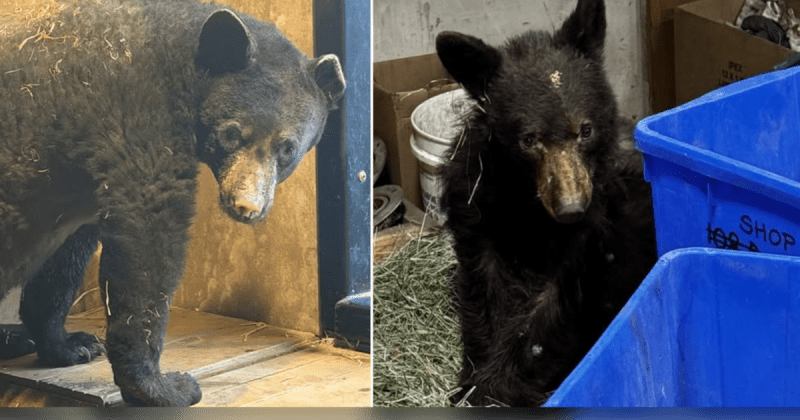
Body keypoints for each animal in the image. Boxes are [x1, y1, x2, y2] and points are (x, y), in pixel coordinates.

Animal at [0, 0, 345, 407]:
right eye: (231, 133)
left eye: (287, 148)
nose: (246, 206)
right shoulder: (139, 122)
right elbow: (147, 240)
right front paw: (162, 386)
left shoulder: (77, 180)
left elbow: (65, 258)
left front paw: (70, 344)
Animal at [435, 0, 657, 407]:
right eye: (528, 140)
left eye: (585, 130)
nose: (571, 209)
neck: (529, 205)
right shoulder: (477, 205)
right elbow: (484, 293)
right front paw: (472, 381)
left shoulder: (595, 235)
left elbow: (555, 313)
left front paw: (490, 389)